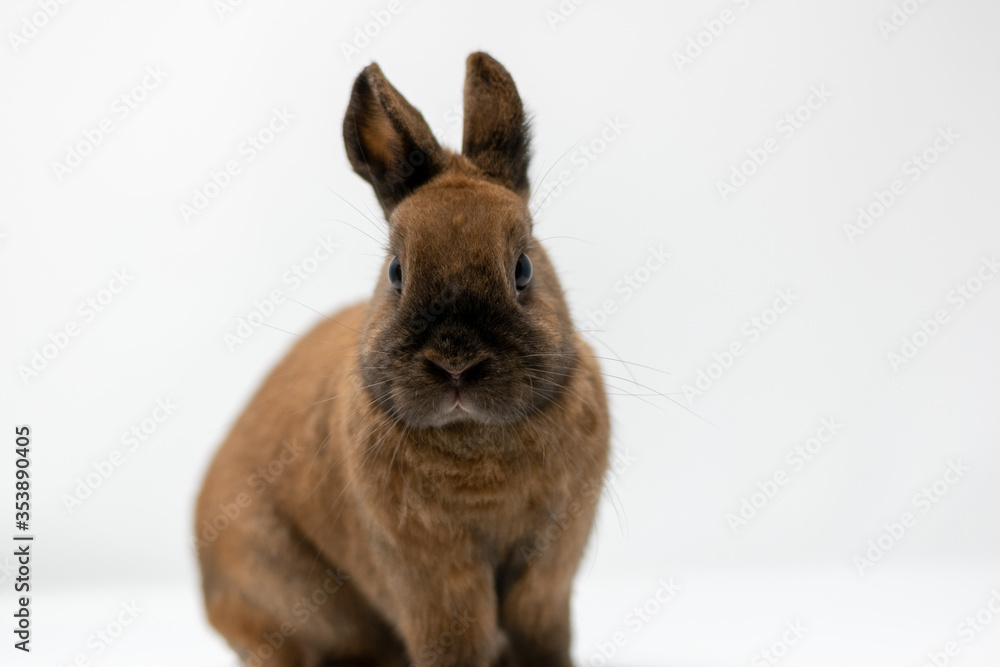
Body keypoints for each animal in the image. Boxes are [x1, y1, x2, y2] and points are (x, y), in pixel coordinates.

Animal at [195, 51, 610, 667]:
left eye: (523, 269)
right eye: (396, 273)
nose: (456, 365)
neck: (475, 441)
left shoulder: (548, 572)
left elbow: (542, 636)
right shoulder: (430, 577)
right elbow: (457, 643)